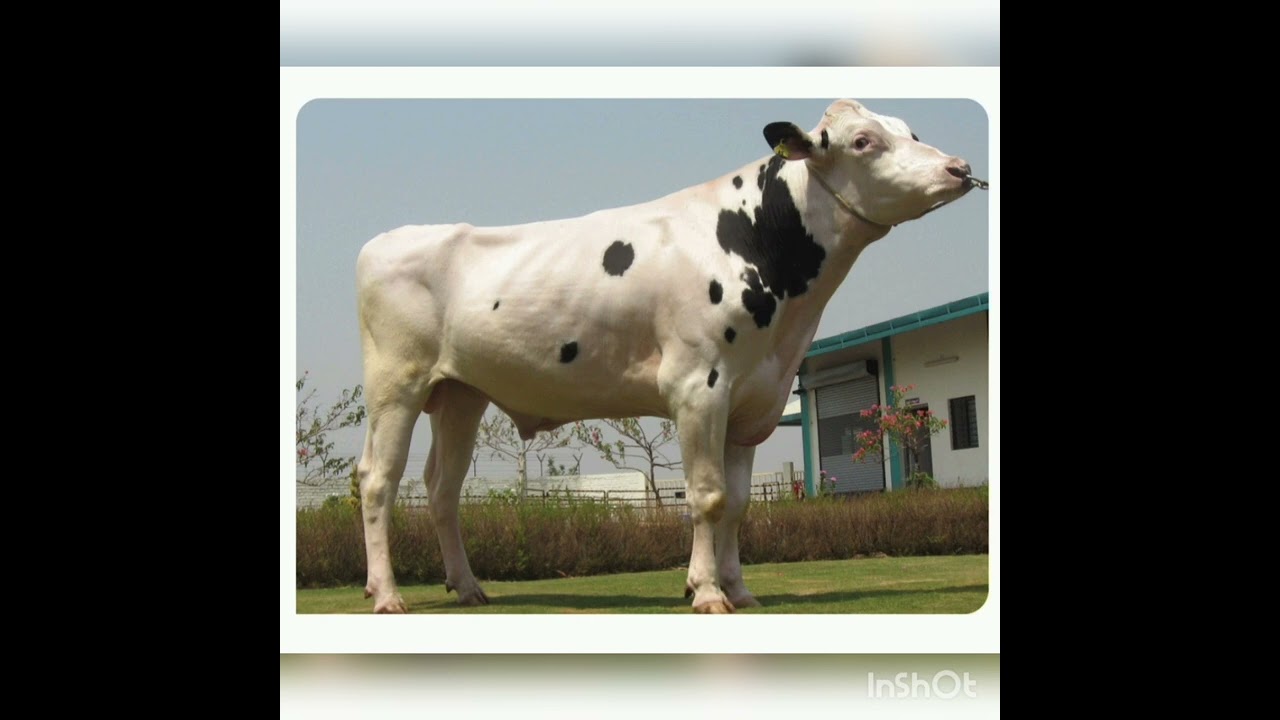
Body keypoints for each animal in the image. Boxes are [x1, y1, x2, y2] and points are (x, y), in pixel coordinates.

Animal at [354, 99, 985, 613]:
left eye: (911, 129)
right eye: (863, 141)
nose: (958, 168)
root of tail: (382, 241)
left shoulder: (751, 401)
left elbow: (737, 503)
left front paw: (740, 590)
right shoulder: (698, 386)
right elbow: (706, 496)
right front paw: (705, 591)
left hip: (460, 394)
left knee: (442, 489)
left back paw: (467, 588)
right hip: (395, 384)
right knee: (379, 480)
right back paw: (386, 594)